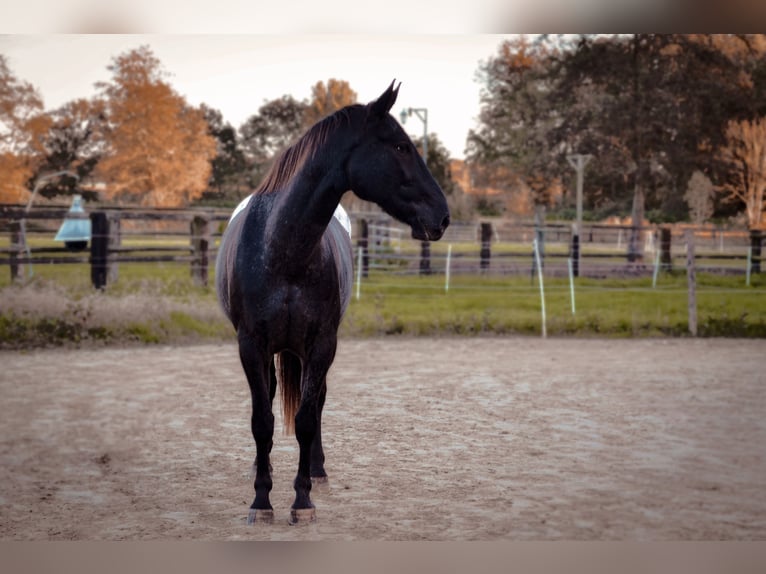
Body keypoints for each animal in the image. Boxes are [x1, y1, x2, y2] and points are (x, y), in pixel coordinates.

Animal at [216, 81, 450, 528]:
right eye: (400, 146)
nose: (443, 215)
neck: (283, 250)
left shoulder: (322, 344)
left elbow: (307, 419)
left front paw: (302, 499)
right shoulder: (250, 346)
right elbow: (262, 421)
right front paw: (261, 499)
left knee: (317, 401)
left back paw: (317, 469)